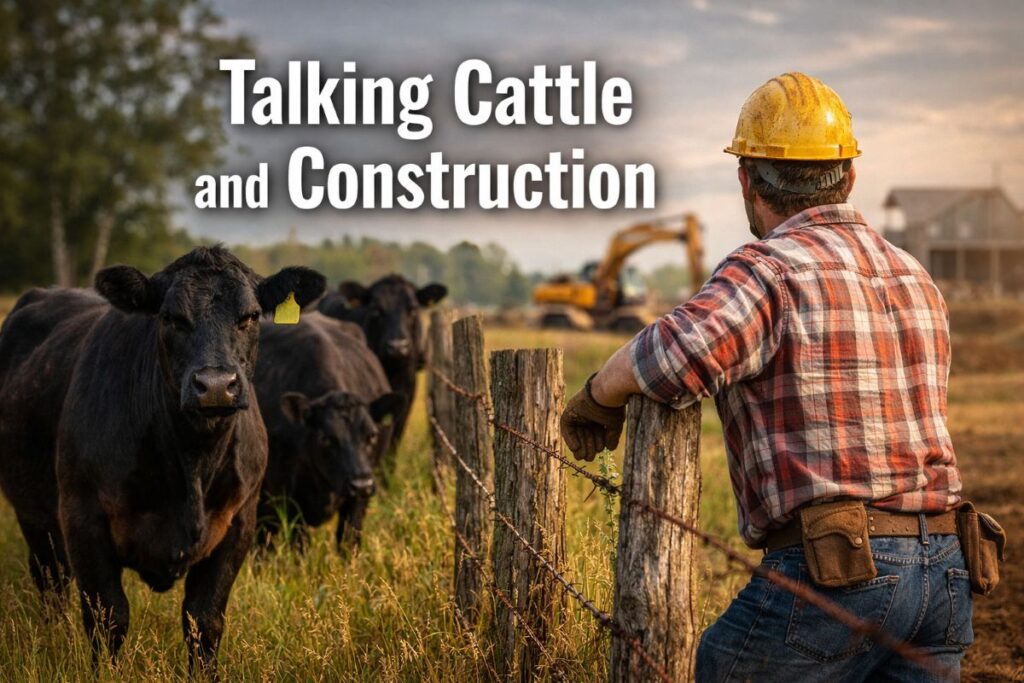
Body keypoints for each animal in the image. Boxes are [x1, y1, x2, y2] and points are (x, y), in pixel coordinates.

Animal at [0, 246, 325, 676]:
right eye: (170, 317)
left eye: (251, 315)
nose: (215, 386)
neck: (191, 462)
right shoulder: (82, 517)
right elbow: (108, 617)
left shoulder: (240, 521)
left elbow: (204, 620)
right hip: (35, 516)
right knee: (51, 583)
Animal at [255, 312, 403, 549]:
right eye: (326, 438)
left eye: (371, 435)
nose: (361, 484)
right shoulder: (287, 498)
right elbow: (299, 545)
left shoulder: (359, 500)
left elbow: (349, 539)